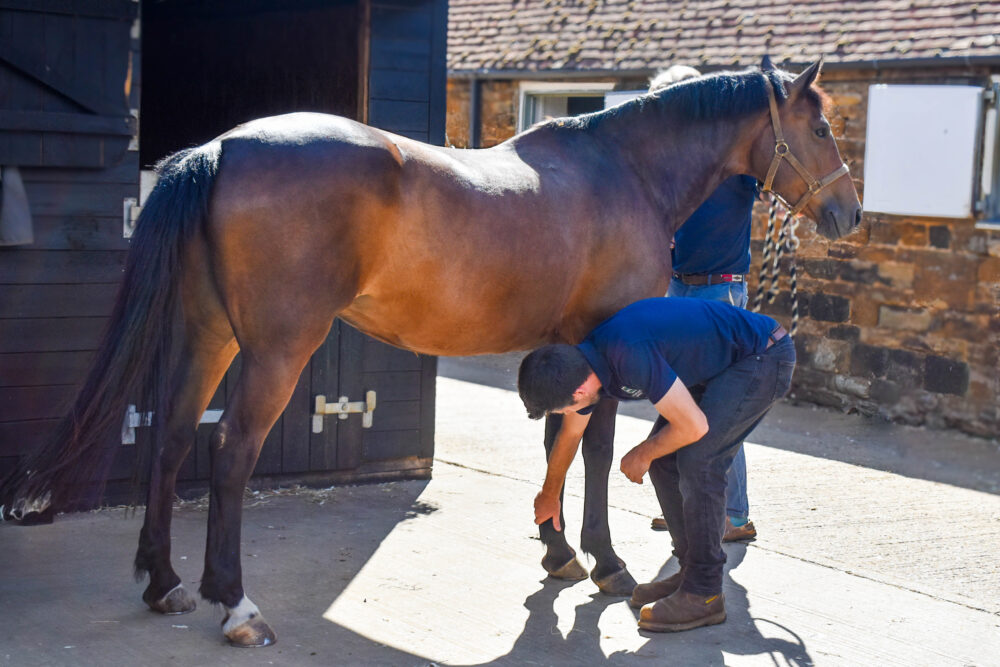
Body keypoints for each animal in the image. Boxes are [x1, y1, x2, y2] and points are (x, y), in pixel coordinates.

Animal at [0, 59, 861, 647]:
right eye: (821, 128)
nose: (851, 213)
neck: (623, 170)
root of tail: (220, 149)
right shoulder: (605, 341)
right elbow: (594, 450)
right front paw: (605, 560)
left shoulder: (565, 346)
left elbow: (558, 440)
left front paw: (555, 549)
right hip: (277, 348)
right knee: (231, 452)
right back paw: (236, 603)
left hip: (211, 334)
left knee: (174, 438)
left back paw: (166, 581)